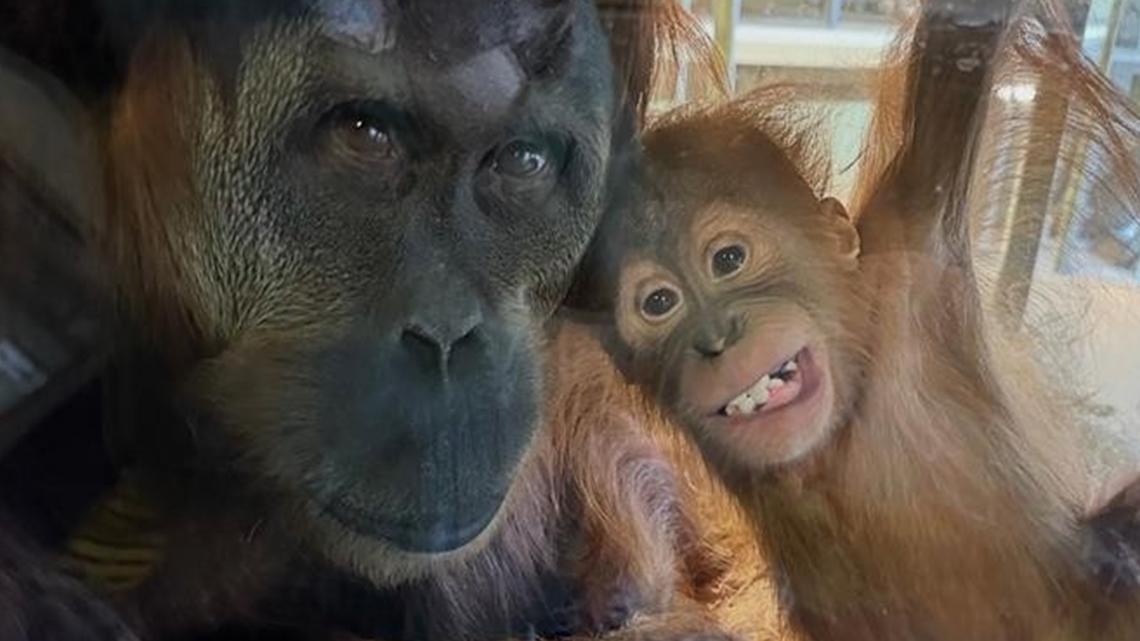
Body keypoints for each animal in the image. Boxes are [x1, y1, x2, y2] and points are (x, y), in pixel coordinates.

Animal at [600, 0, 1140, 639]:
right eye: (659, 303)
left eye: (728, 259)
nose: (717, 338)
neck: (840, 426)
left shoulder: (915, 230)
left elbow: (962, 44)